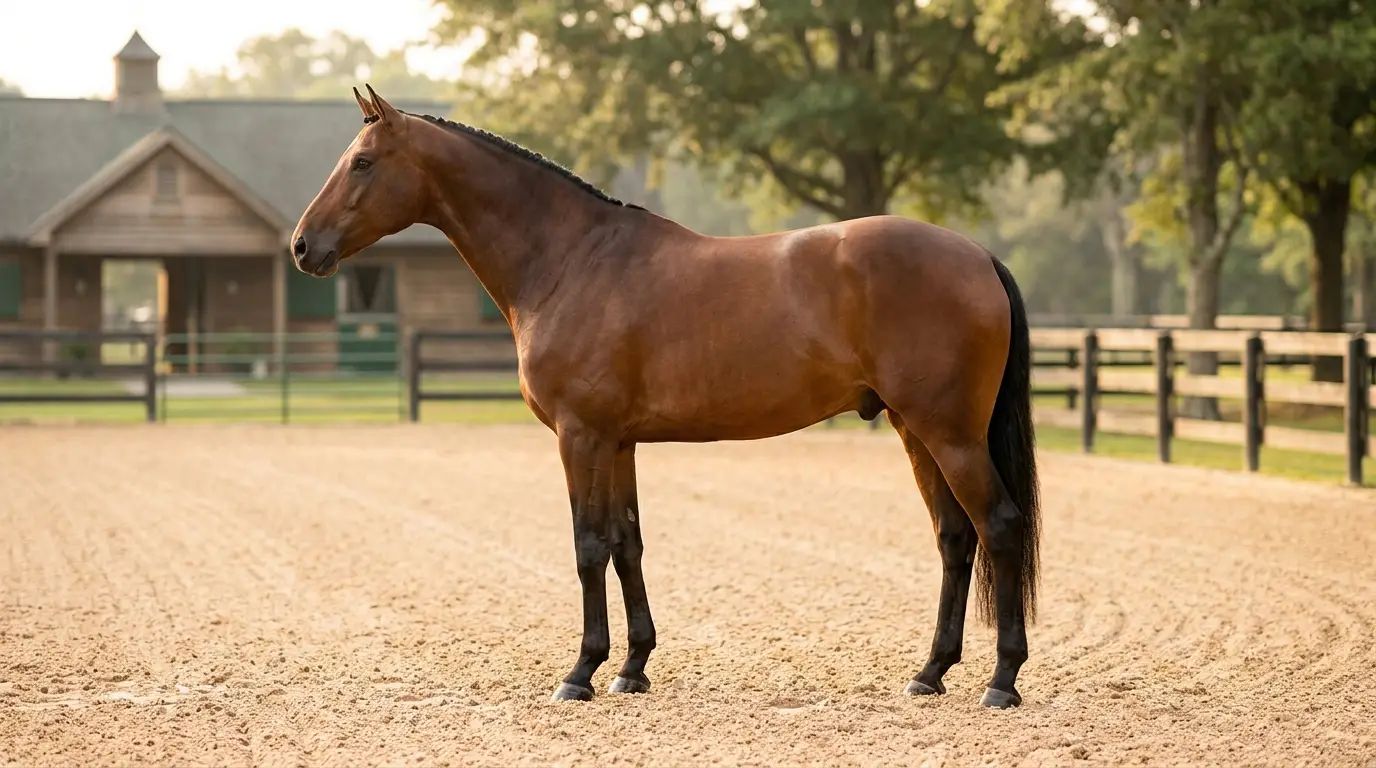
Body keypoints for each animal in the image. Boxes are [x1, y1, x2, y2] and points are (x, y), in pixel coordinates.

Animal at [292, 85, 1041, 709]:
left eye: (362, 163)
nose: (303, 247)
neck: (571, 260)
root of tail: (977, 255)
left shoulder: (582, 436)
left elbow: (588, 545)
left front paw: (581, 673)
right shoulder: (619, 441)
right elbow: (628, 544)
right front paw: (632, 668)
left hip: (949, 434)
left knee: (999, 526)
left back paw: (1002, 681)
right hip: (917, 431)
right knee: (954, 537)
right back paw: (930, 673)